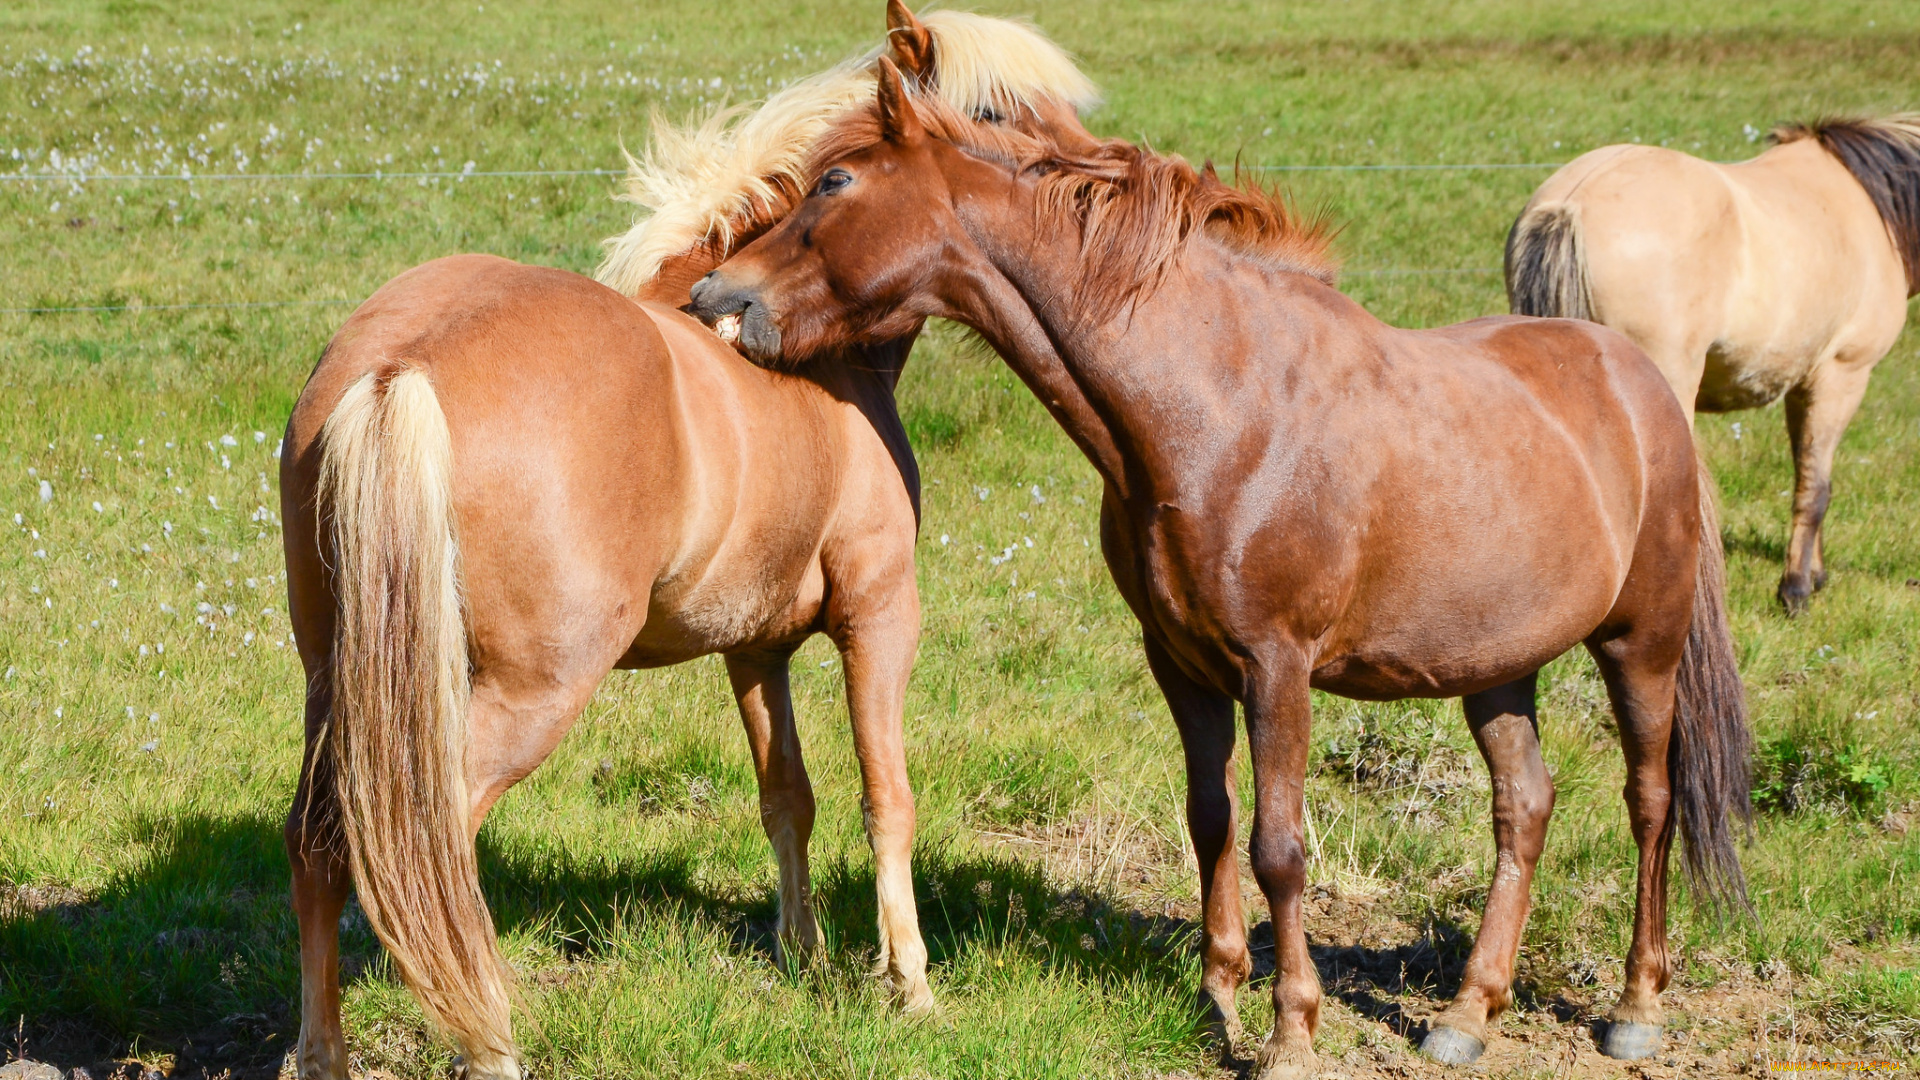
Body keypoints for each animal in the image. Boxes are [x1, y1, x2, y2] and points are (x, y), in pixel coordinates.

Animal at [278, 10, 1105, 1076]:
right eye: (997, 112)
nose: (1092, 180)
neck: (820, 360)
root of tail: (398, 365)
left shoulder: (756, 645)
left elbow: (786, 794)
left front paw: (805, 957)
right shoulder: (880, 614)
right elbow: (888, 797)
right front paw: (911, 986)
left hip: (339, 681)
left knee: (319, 845)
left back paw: (324, 1052)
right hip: (515, 697)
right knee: (426, 858)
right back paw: (490, 1045)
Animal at [691, 62, 1758, 1068]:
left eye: (835, 181)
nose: (713, 297)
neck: (1219, 407)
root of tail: (1642, 382)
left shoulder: (1276, 667)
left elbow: (1278, 846)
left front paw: (1292, 1031)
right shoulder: (1182, 663)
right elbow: (1210, 816)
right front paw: (1219, 999)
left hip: (1641, 646)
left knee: (1651, 802)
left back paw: (1636, 1008)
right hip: (1497, 665)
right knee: (1523, 808)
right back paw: (1467, 1013)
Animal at [1512, 116, 1920, 611]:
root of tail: (1571, 204)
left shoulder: (1801, 384)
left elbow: (1807, 471)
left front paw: (1814, 574)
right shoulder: (1842, 375)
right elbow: (1816, 488)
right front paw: (1796, 589)